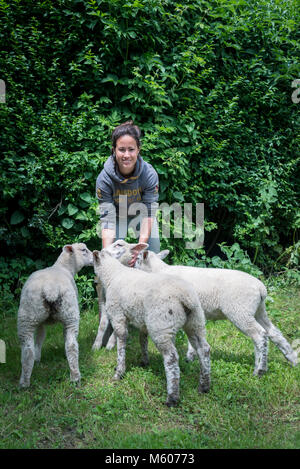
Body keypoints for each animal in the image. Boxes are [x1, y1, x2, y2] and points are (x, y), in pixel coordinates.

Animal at [17, 243, 92, 386]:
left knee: (27, 350)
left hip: (29, 316)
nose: (95, 257)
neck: (64, 267)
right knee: (71, 345)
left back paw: (24, 382)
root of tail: (50, 288)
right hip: (71, 315)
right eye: (84, 250)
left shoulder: (40, 322)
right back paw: (75, 377)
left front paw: (37, 358)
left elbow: (40, 337)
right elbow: (44, 337)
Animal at [92, 249, 210, 406]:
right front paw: (144, 361)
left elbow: (121, 342)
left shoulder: (118, 316)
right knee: (204, 350)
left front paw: (119, 372)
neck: (113, 275)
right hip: (195, 321)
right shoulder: (142, 321)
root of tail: (186, 297)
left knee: (171, 357)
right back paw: (204, 386)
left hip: (161, 325)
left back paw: (172, 397)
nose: (94, 282)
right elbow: (142, 340)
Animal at [97, 239, 298, 374]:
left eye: (137, 259)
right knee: (274, 333)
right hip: (258, 311)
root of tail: (261, 288)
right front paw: (191, 356)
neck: (159, 270)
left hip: (240, 311)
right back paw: (293, 360)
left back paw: (259, 370)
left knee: (260, 335)